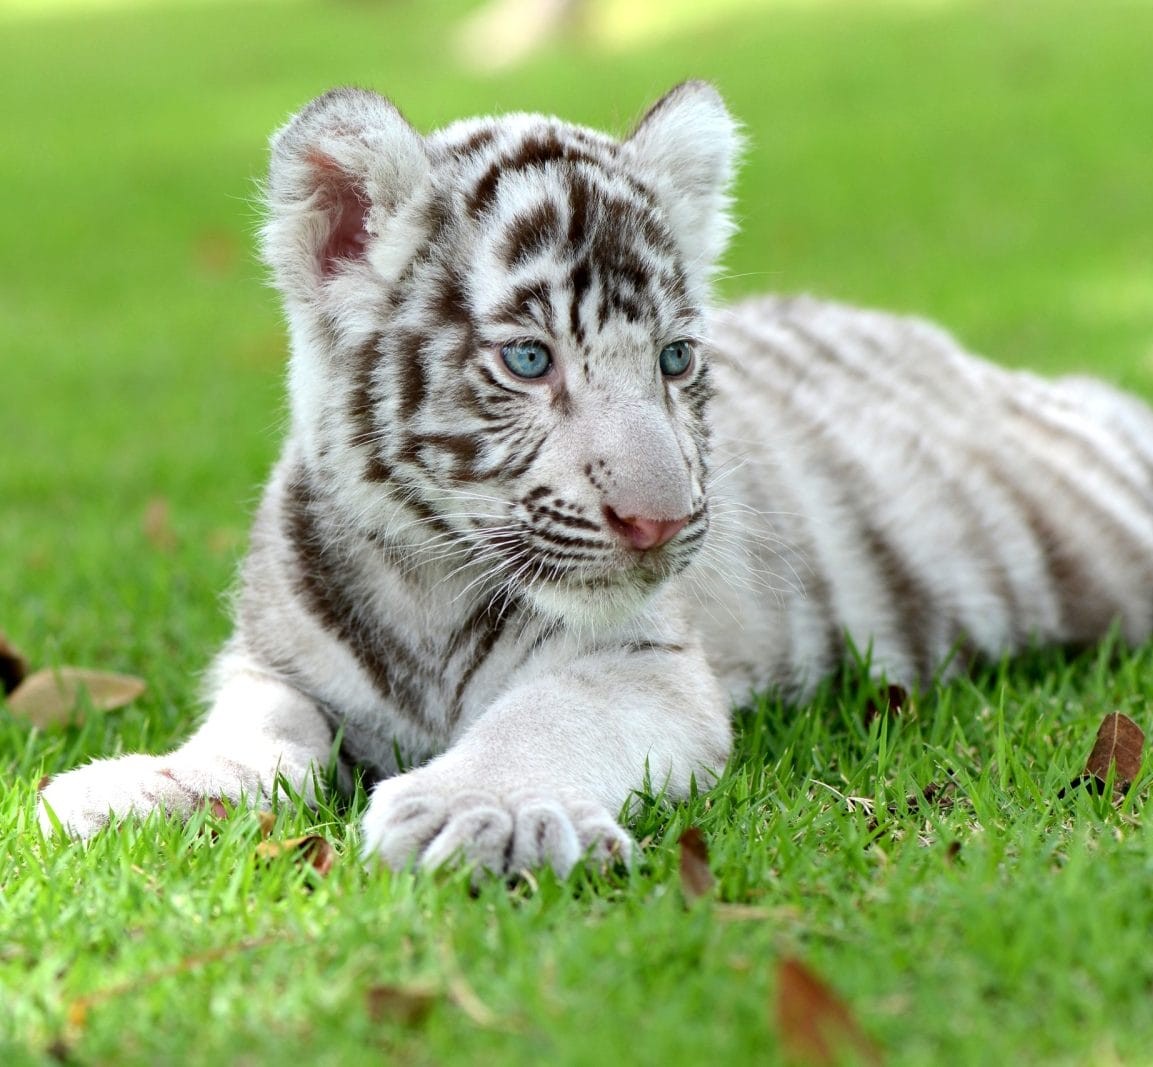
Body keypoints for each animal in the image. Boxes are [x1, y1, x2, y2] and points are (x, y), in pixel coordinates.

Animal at [37, 82, 1153, 875]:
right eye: (530, 360)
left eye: (673, 358)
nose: (661, 522)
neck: (428, 581)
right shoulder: (271, 666)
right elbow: (253, 734)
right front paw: (136, 786)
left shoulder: (641, 661)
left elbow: (545, 715)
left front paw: (482, 813)